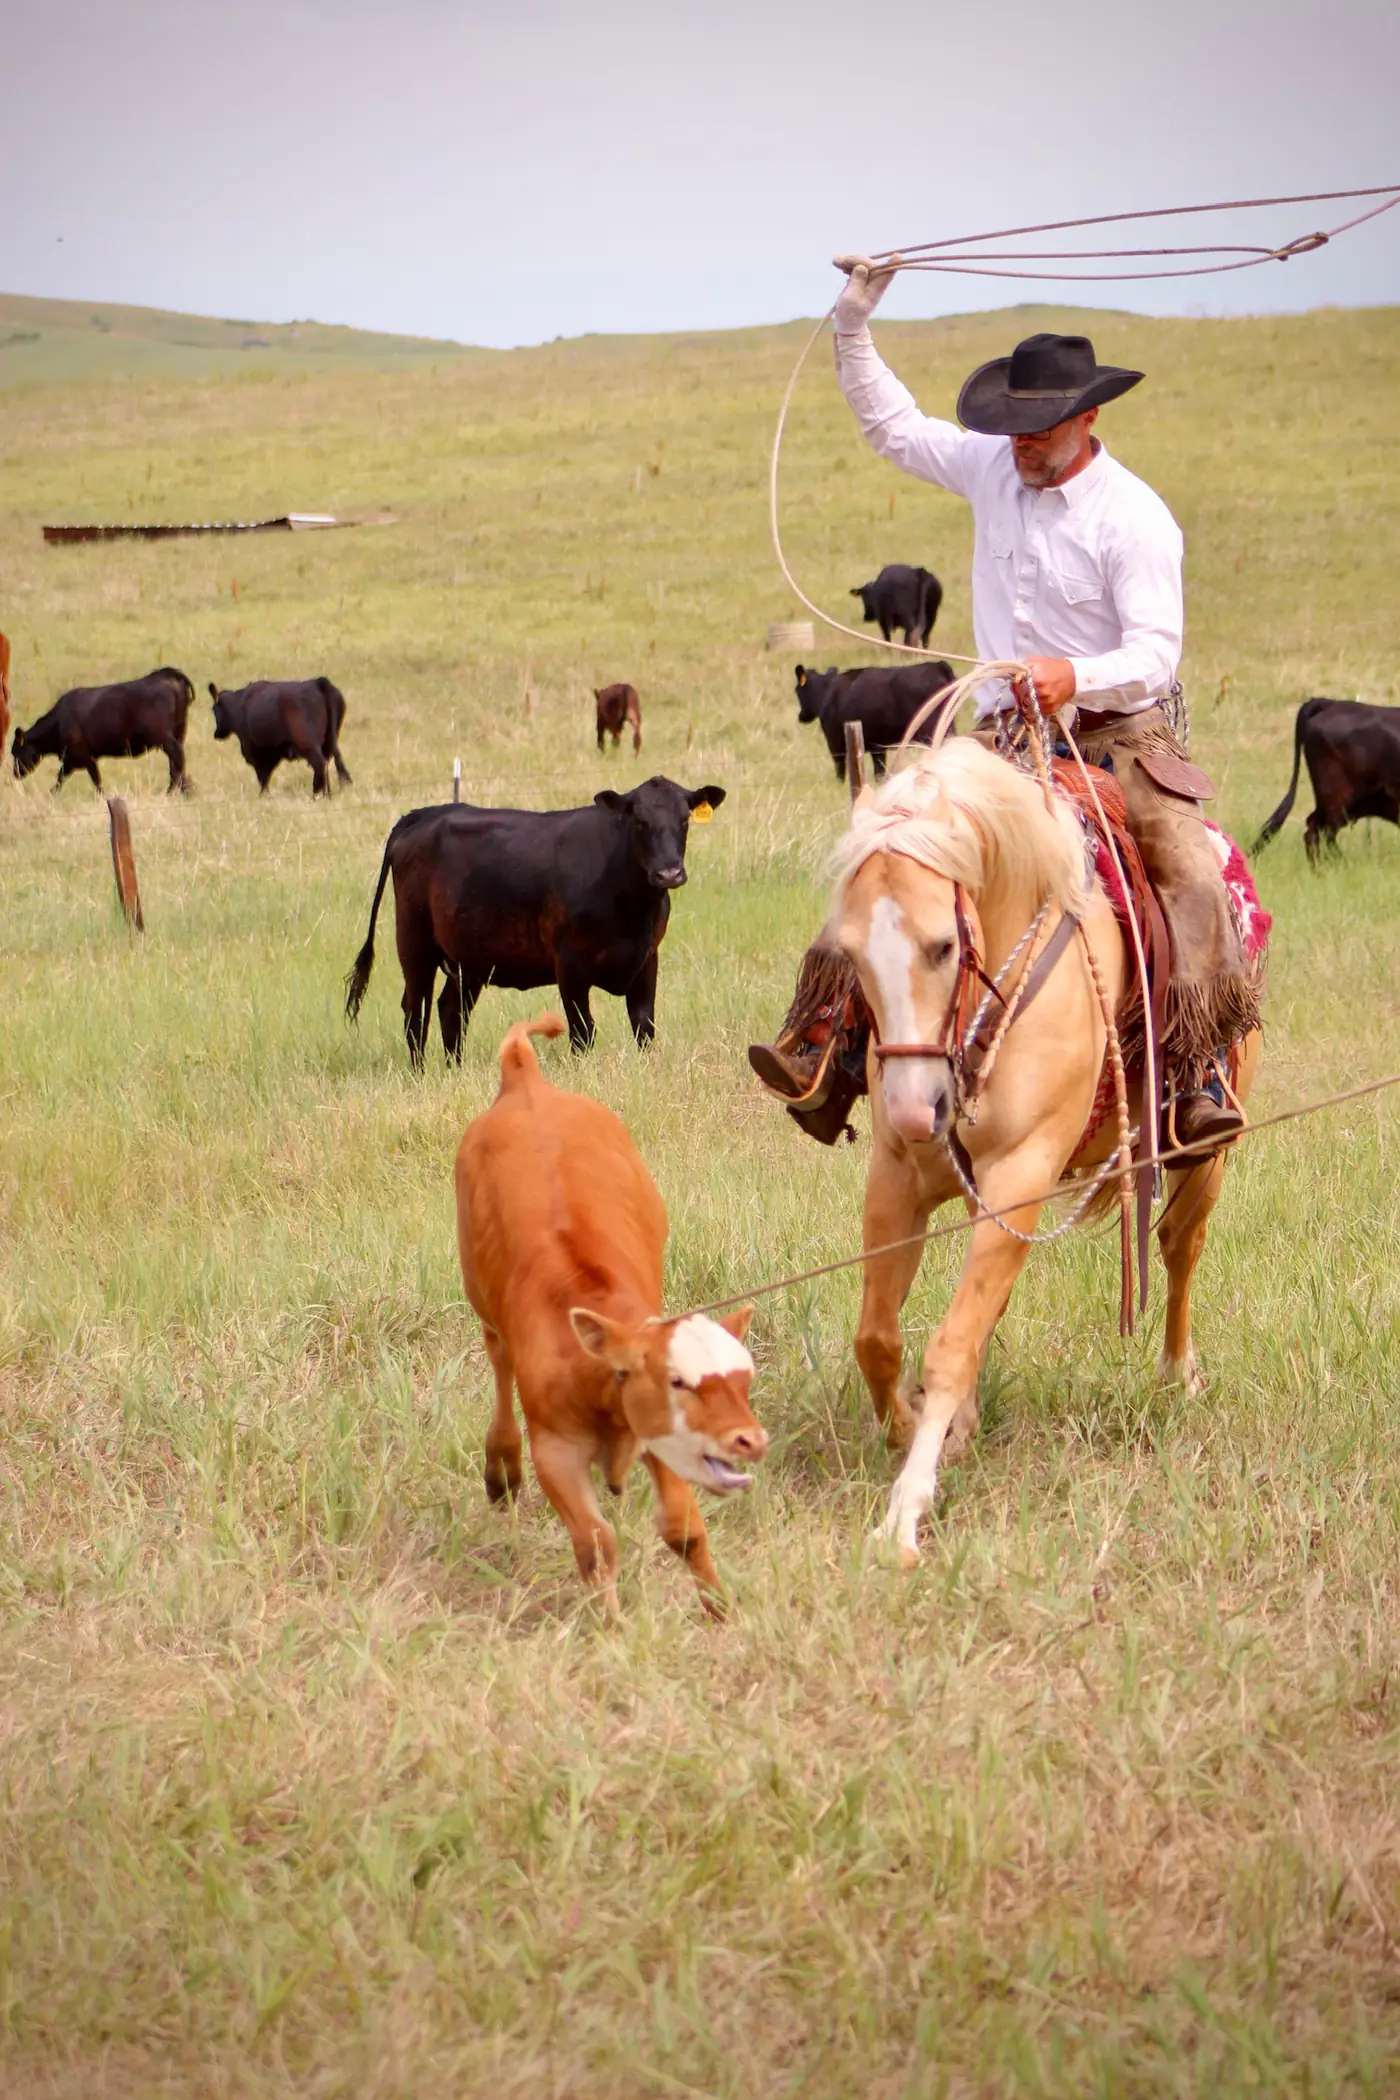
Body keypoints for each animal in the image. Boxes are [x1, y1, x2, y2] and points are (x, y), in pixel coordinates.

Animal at [11, 666, 194, 792]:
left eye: (15, 752)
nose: (15, 774)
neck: (59, 721)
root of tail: (165, 673)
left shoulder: (84, 757)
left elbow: (95, 781)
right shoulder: (71, 760)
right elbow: (59, 780)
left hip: (163, 736)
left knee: (177, 757)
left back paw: (175, 791)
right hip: (178, 732)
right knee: (176, 762)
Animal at [209, 677, 352, 796]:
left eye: (213, 710)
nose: (216, 734)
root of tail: (318, 682)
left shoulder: (253, 750)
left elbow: (262, 776)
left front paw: (263, 796)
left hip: (307, 741)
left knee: (320, 763)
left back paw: (317, 795)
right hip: (329, 741)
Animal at [345, 774, 725, 1063]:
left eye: (684, 820)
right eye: (641, 821)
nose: (669, 873)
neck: (633, 910)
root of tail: (424, 814)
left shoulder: (647, 958)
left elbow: (644, 1026)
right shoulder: (570, 964)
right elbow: (583, 1031)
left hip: (468, 959)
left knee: (450, 1008)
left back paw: (455, 1068)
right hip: (414, 941)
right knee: (415, 1009)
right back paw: (420, 1072)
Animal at [455, 1011, 767, 1614]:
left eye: (745, 1379)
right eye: (676, 1381)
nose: (750, 1440)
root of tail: (526, 1080)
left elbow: (683, 1529)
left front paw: (719, 1610)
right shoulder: (555, 1449)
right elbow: (596, 1544)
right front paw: (610, 1622)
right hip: (482, 1302)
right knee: (498, 1362)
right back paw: (501, 1468)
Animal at [794, 660, 957, 779]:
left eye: (797, 691)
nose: (801, 716)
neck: (827, 694)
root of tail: (937, 665)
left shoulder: (835, 743)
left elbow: (841, 772)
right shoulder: (877, 746)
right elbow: (880, 773)